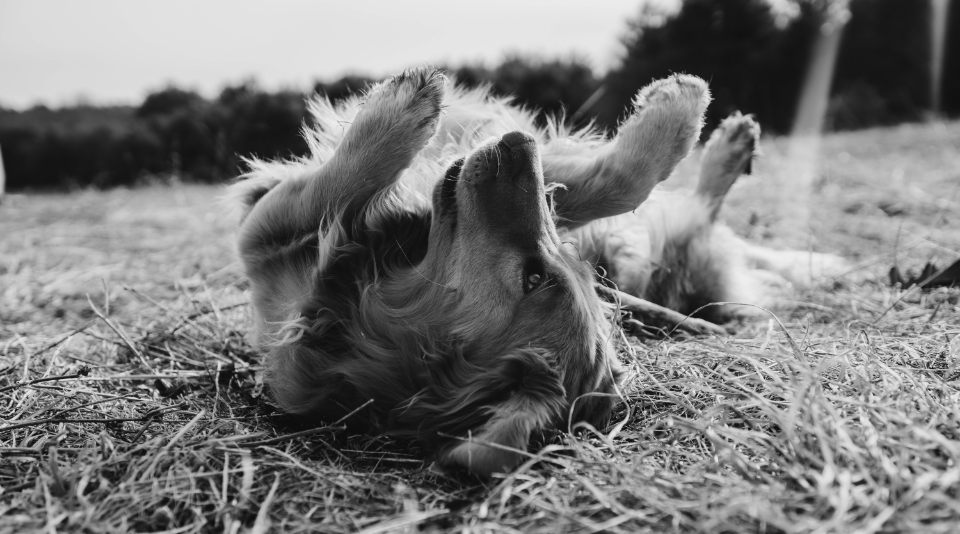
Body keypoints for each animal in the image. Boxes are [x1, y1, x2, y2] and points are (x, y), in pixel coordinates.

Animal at [229, 66, 844, 478]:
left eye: (536, 277)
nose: (519, 141)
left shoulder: (264, 240)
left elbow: (334, 187)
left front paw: (399, 113)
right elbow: (612, 184)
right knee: (695, 212)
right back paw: (732, 145)